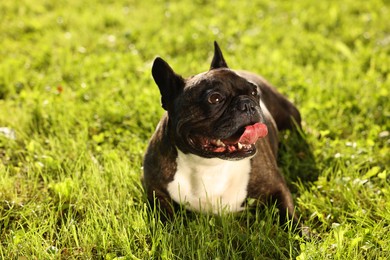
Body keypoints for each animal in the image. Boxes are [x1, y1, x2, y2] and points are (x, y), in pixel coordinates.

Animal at [142, 41, 302, 224]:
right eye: (215, 98)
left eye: (254, 92)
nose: (247, 103)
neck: (209, 165)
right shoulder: (156, 189)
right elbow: (164, 216)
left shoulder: (276, 186)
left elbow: (289, 215)